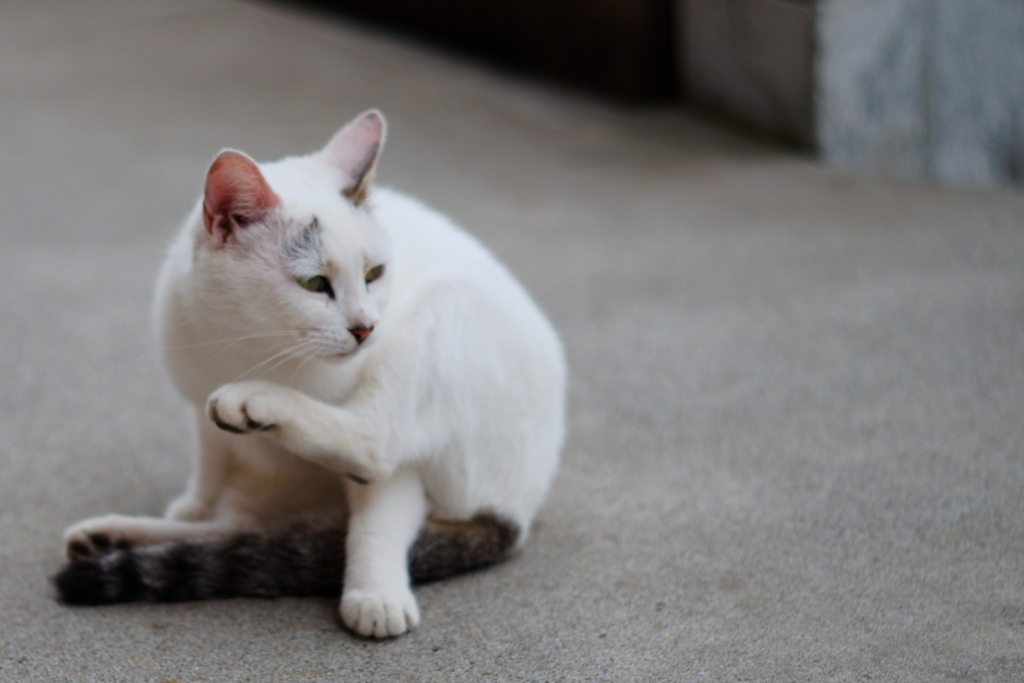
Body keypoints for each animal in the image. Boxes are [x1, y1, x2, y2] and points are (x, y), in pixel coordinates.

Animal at [56, 109, 565, 638]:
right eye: (315, 283)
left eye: (375, 274)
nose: (366, 328)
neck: (256, 348)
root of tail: (518, 513)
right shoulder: (197, 405)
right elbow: (210, 466)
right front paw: (194, 502)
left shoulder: (401, 473)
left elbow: (376, 520)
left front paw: (375, 594)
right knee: (249, 532)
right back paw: (114, 536)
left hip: (448, 301)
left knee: (372, 445)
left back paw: (253, 404)